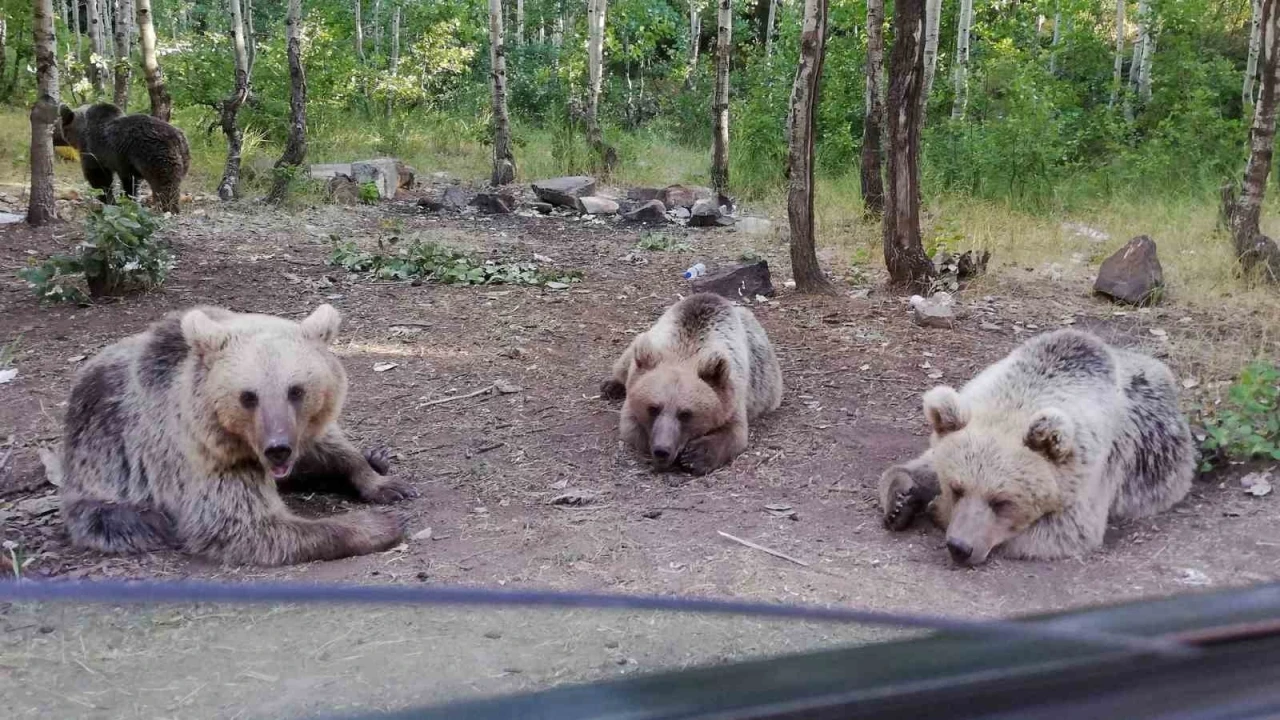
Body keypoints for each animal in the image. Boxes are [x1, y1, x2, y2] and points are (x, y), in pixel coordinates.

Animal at [57, 299, 412, 563]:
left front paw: (384, 480)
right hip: (100, 480)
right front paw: (378, 525)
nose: (277, 448)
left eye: (296, 390)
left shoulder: (299, 433)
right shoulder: (204, 458)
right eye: (248, 396)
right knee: (123, 520)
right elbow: (245, 525)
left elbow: (331, 450)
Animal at [58, 102, 189, 212]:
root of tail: (176, 139)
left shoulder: (93, 151)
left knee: (164, 183)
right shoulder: (125, 163)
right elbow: (129, 183)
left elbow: (99, 177)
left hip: (155, 154)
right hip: (184, 156)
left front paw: (107, 199)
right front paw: (128, 200)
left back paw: (166, 207)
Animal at [599, 288, 778, 474]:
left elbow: (735, 433)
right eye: (653, 408)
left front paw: (695, 456)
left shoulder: (733, 394)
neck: (686, 350)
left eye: (685, 414)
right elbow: (632, 428)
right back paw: (610, 386)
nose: (662, 450)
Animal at [875, 327, 1192, 563]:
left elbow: (1065, 531)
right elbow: (921, 464)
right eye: (957, 487)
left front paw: (935, 509)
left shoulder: (1094, 475)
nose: (960, 547)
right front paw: (901, 500)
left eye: (1002, 500)